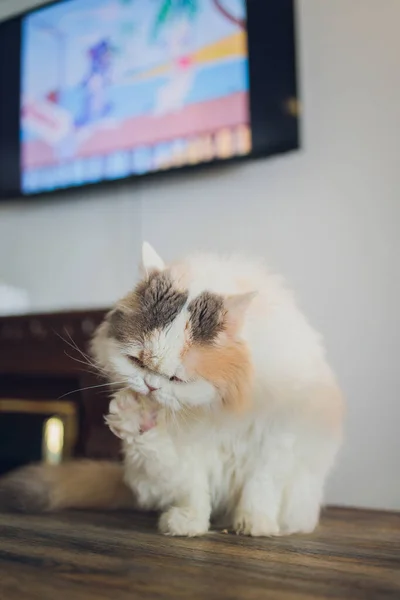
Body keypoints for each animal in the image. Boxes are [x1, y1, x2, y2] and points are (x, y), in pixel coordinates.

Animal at [0, 244, 344, 540]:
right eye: (137, 362)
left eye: (177, 379)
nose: (151, 386)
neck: (218, 408)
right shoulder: (191, 454)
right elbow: (193, 490)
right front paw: (189, 524)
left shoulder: (275, 440)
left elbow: (259, 487)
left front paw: (255, 524)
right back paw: (136, 422)